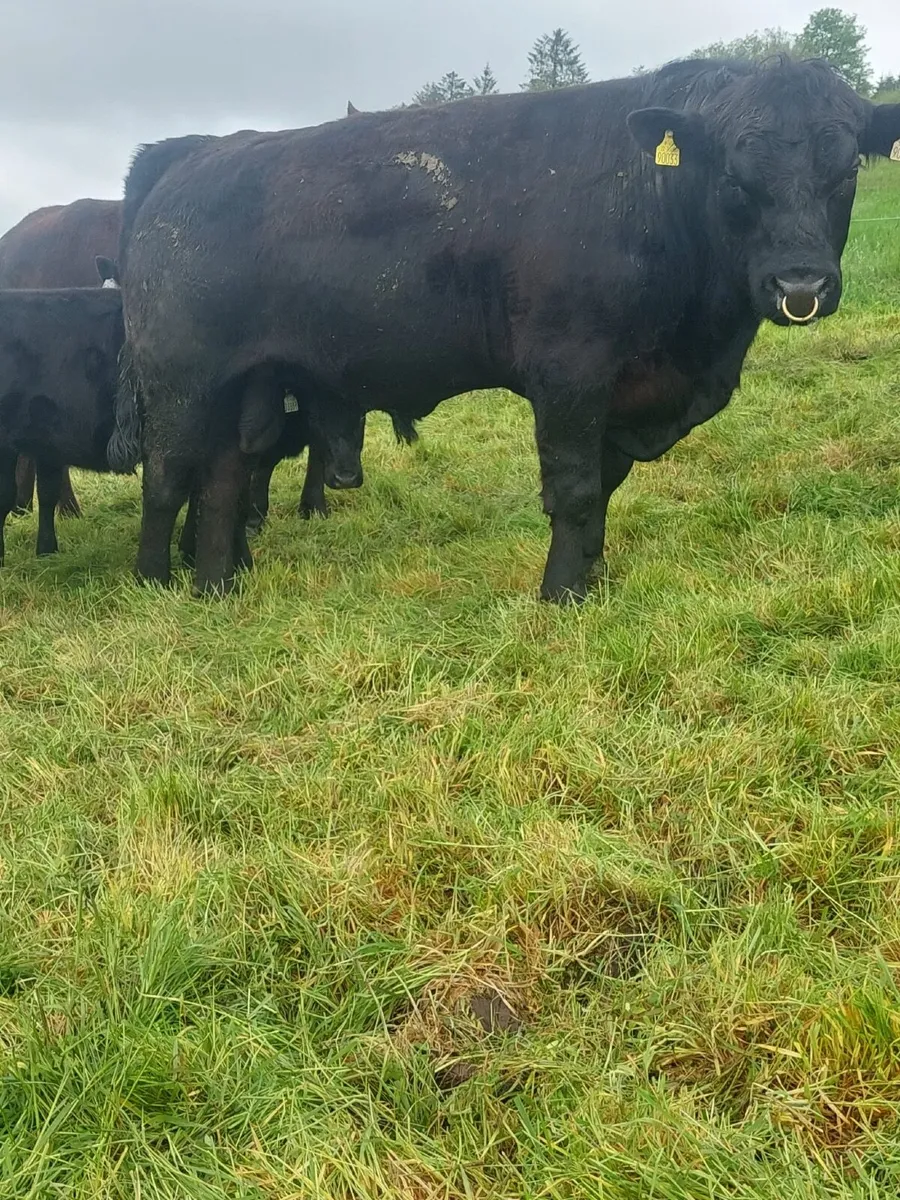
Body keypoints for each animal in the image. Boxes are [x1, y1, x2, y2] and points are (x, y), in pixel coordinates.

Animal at [114, 57, 900, 598]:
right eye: (735, 177)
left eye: (845, 170)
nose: (801, 286)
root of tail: (191, 158)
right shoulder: (571, 373)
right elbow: (575, 488)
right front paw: (561, 596)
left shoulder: (618, 390)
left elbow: (603, 488)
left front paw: (593, 578)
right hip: (179, 380)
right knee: (170, 477)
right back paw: (154, 580)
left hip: (246, 387)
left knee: (224, 479)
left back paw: (220, 583)